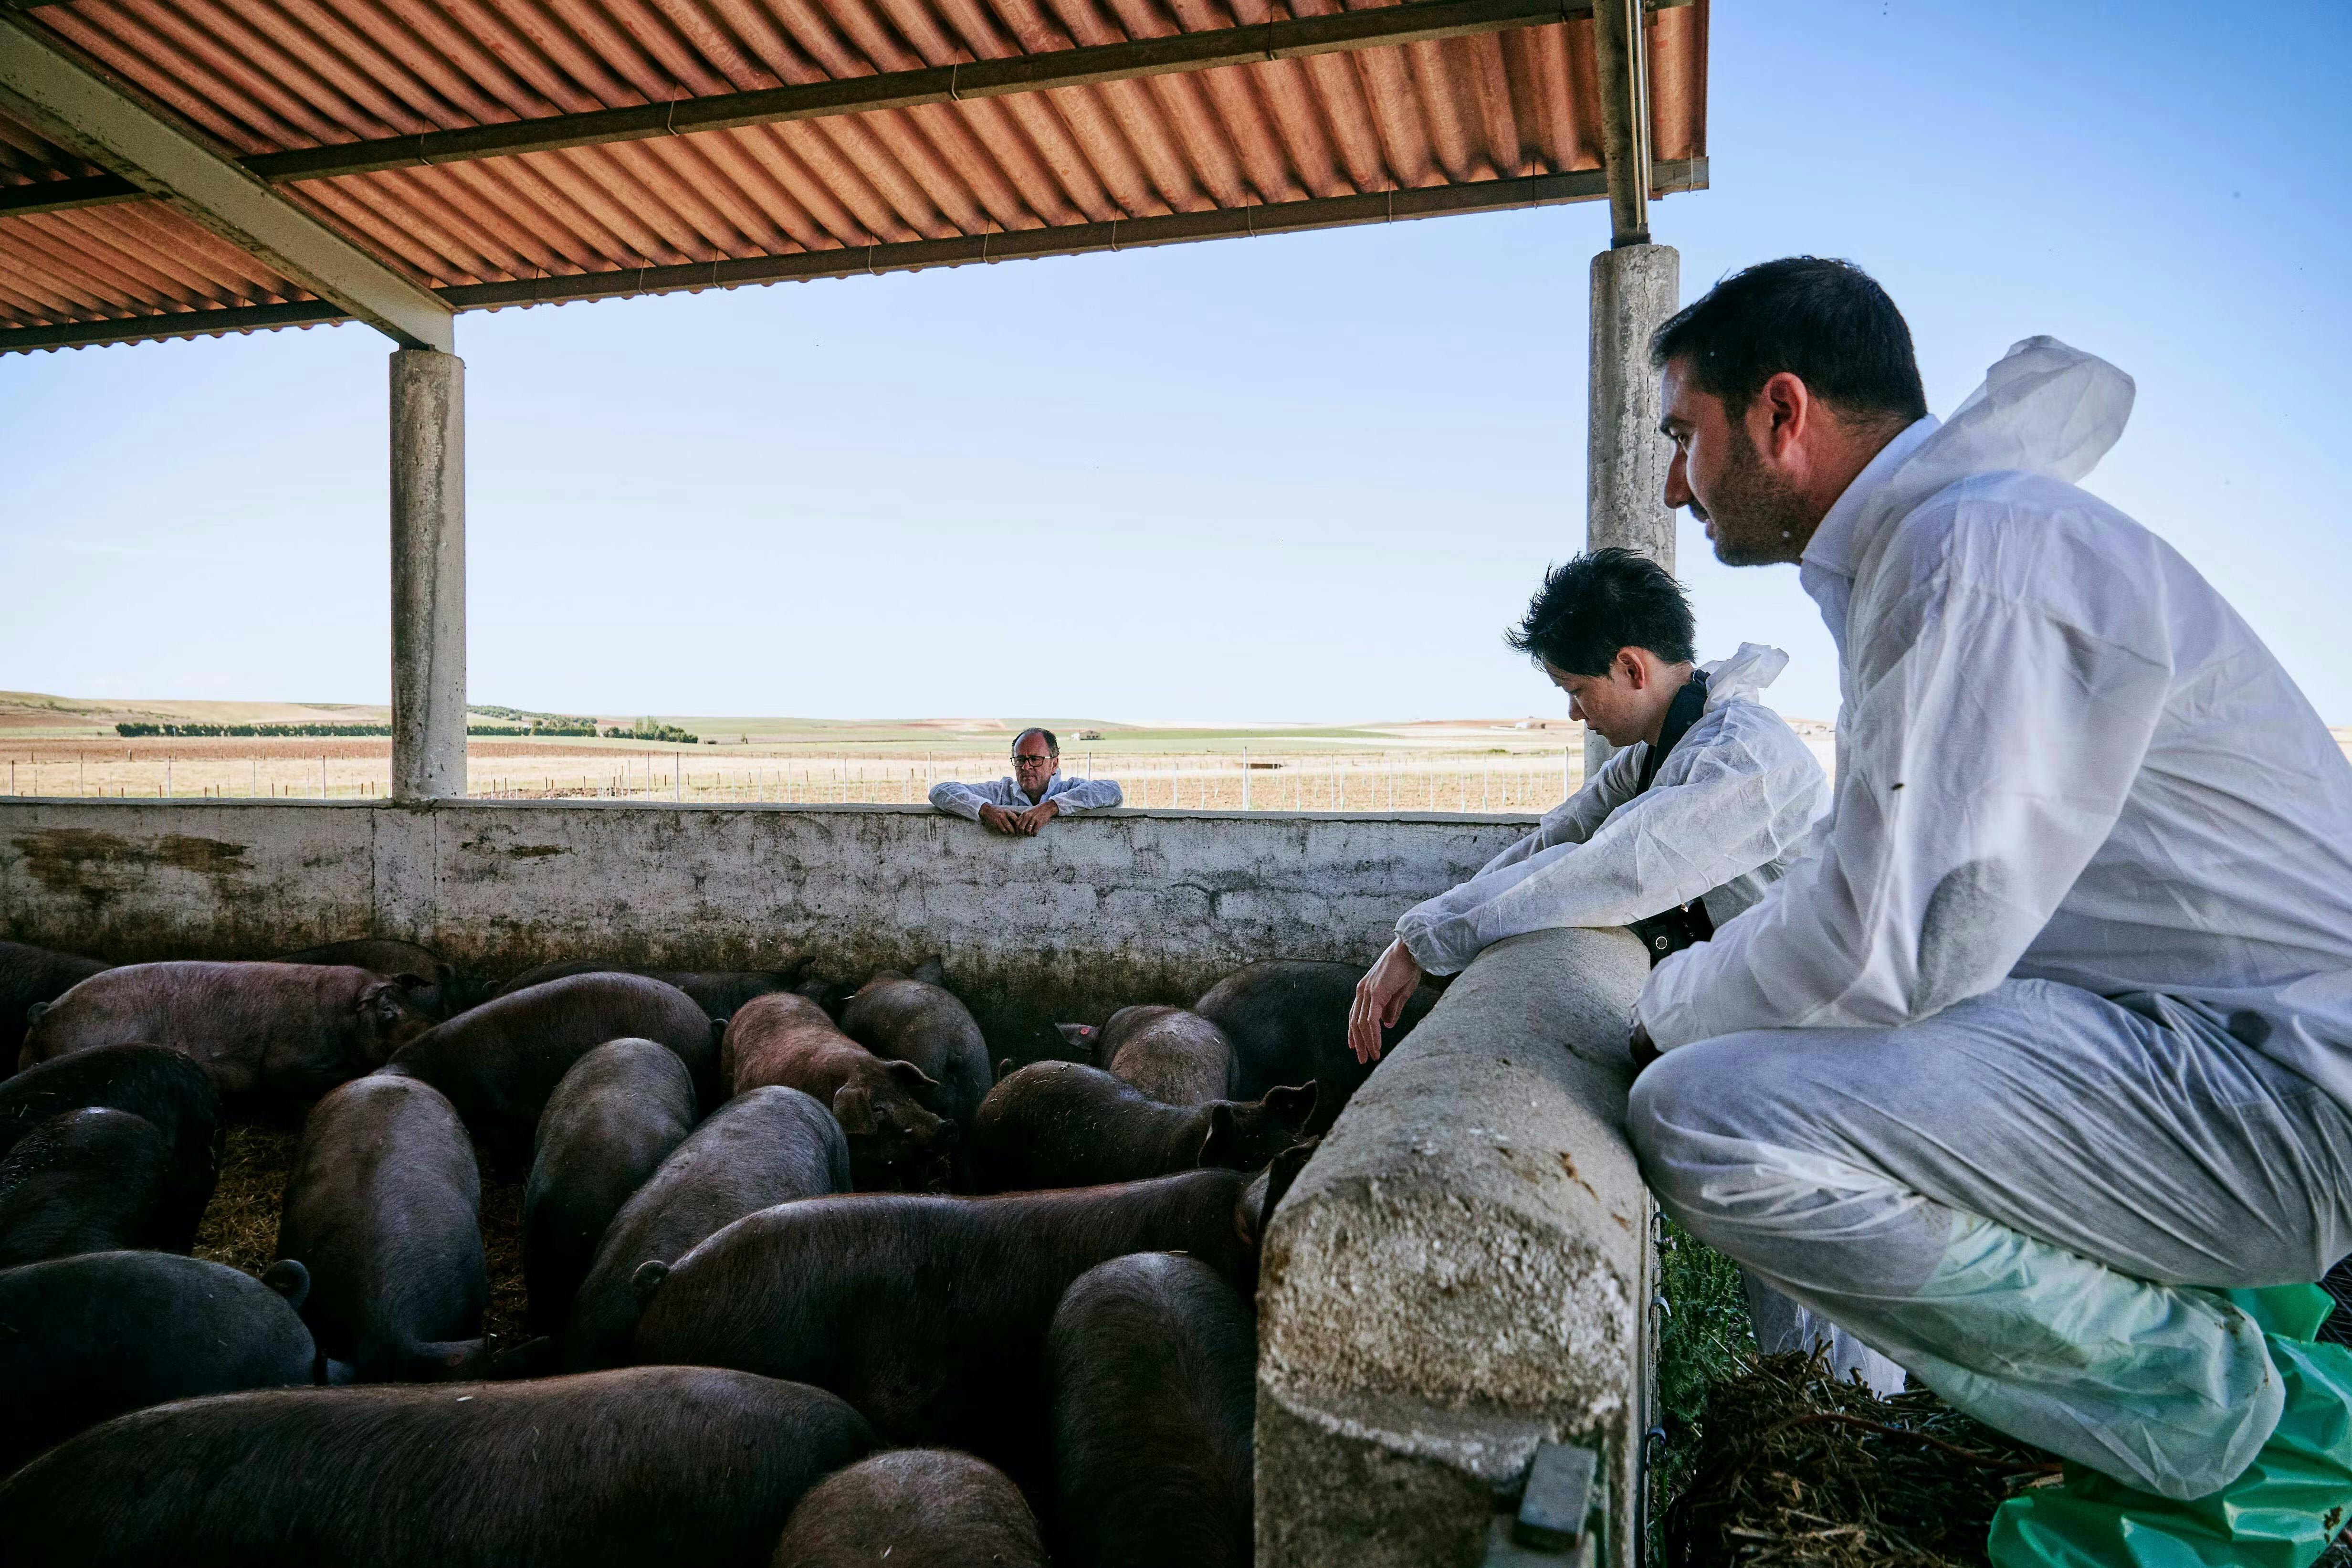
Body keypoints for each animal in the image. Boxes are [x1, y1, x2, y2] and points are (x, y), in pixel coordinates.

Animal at [19, 960, 434, 1106]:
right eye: (388, 1010)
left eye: (415, 1002)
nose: (430, 1028)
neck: (340, 1018)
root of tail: (45, 1014)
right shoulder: (283, 1062)